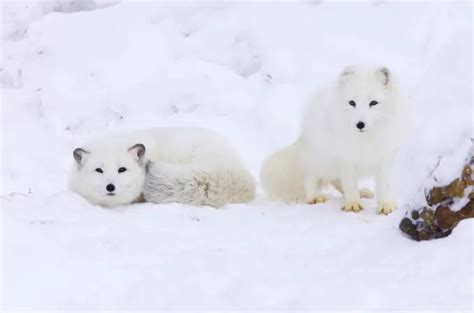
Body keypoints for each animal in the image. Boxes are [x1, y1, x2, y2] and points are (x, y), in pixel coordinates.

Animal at [262, 64, 406, 213]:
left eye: (373, 103)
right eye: (352, 103)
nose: (360, 124)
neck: (365, 139)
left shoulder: (385, 157)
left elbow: (384, 185)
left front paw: (385, 204)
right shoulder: (346, 159)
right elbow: (350, 184)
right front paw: (353, 204)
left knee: (336, 180)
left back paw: (362, 192)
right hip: (318, 157)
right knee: (310, 175)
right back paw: (314, 197)